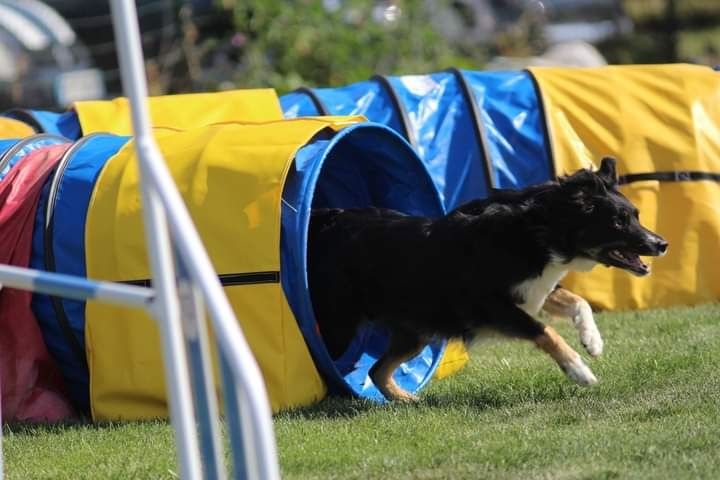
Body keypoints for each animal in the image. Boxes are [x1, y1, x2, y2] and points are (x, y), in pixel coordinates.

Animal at [308, 158, 668, 402]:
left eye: (636, 215)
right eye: (618, 222)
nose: (662, 244)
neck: (537, 231)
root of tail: (327, 221)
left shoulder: (535, 289)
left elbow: (578, 302)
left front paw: (593, 341)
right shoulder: (491, 305)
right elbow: (546, 331)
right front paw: (579, 371)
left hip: (416, 332)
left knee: (376, 370)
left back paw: (407, 400)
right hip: (340, 325)